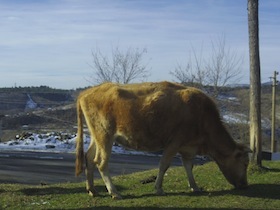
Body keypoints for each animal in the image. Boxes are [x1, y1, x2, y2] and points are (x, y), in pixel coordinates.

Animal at [75, 81, 250, 199]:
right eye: (245, 163)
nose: (245, 185)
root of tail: (88, 92)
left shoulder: (188, 147)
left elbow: (189, 166)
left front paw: (194, 186)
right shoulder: (174, 142)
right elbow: (164, 165)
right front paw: (158, 188)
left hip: (96, 136)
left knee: (89, 158)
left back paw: (92, 190)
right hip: (105, 135)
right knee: (101, 162)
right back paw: (114, 192)